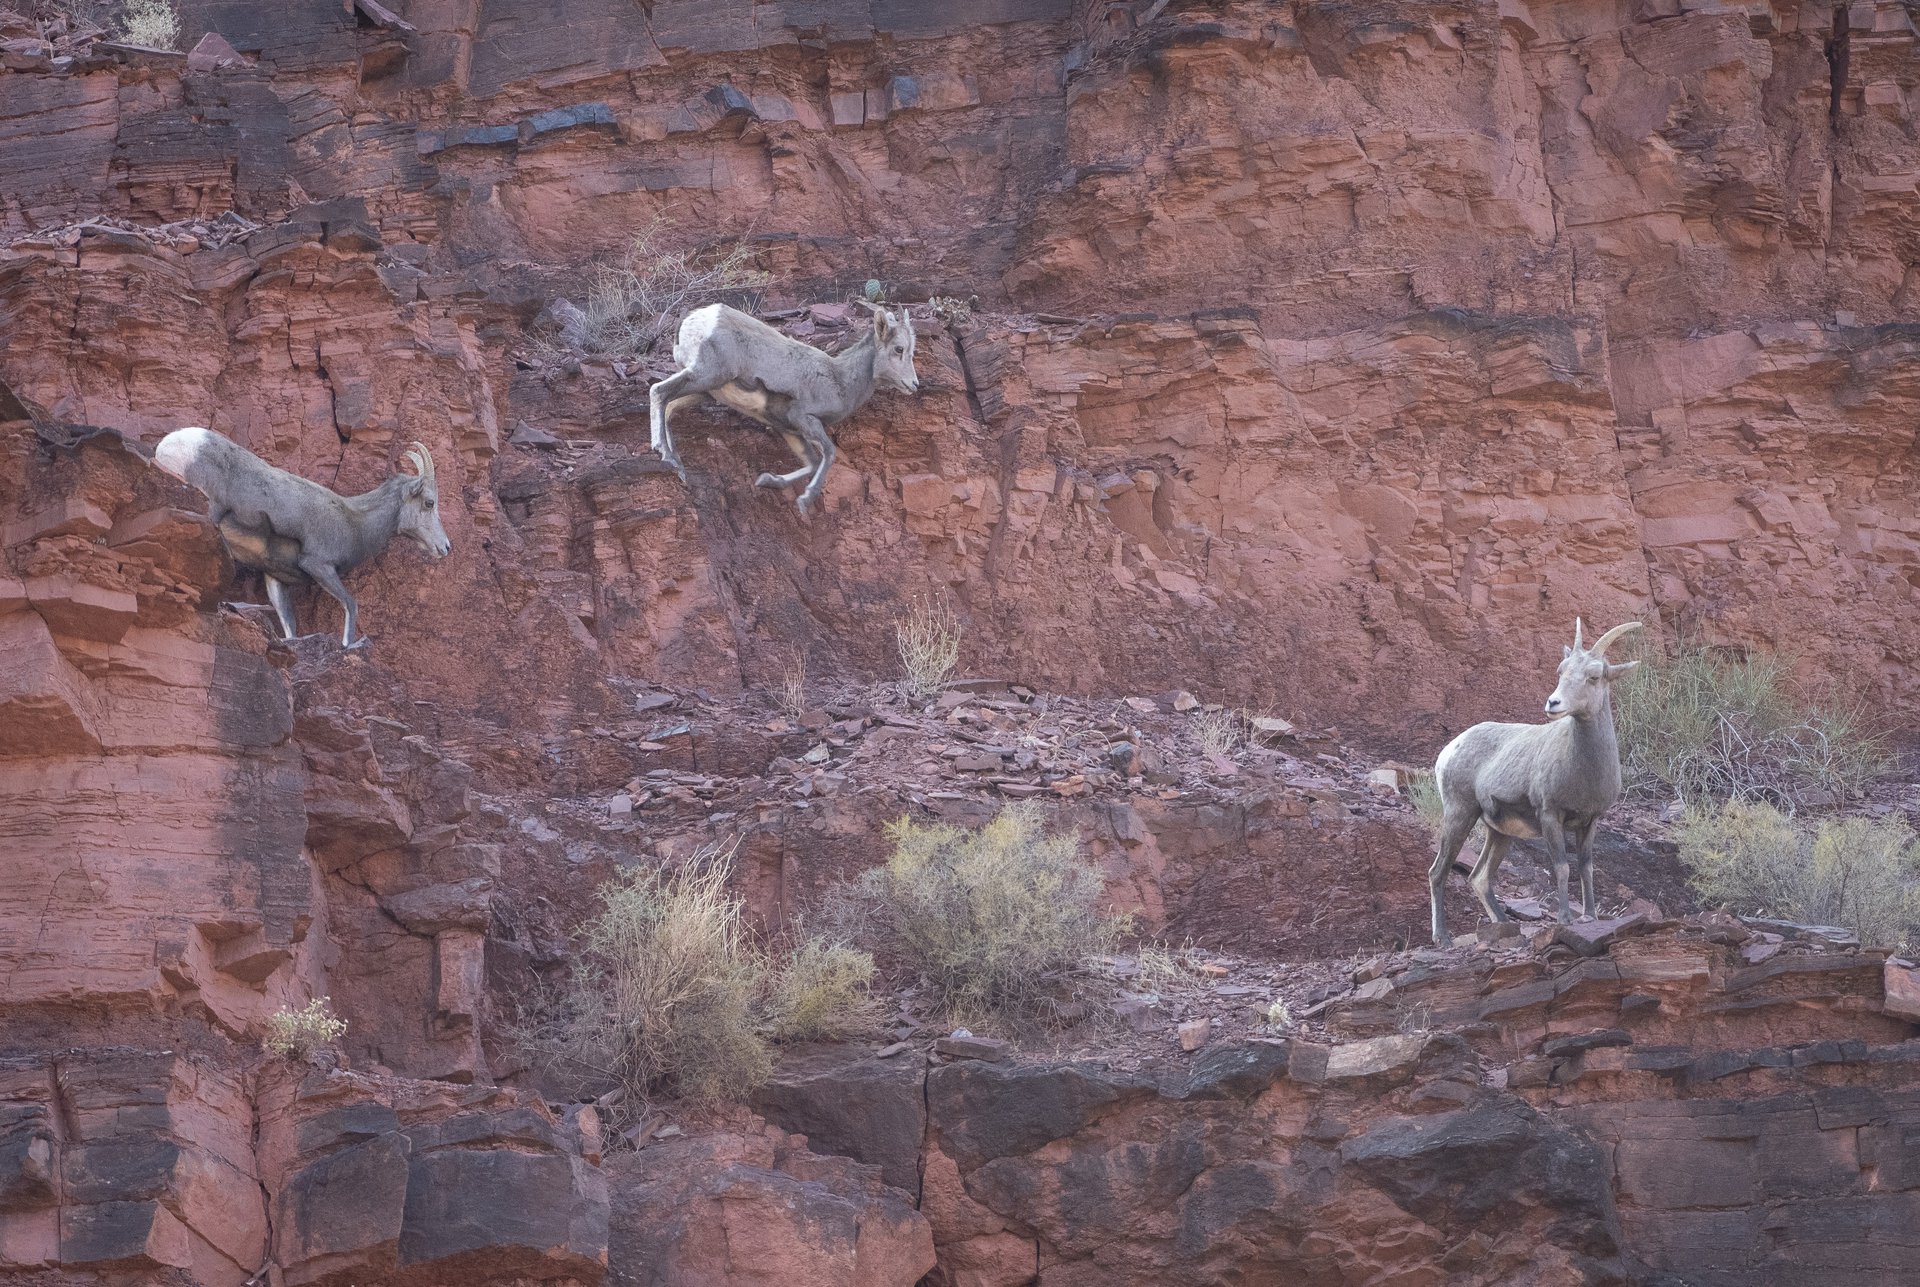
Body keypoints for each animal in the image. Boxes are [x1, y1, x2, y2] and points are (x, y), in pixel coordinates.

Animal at [153, 426, 451, 649]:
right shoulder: (318, 564)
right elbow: (351, 603)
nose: (445, 547)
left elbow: (290, 629)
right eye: (429, 503)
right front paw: (348, 645)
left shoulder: (276, 578)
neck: (355, 522)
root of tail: (170, 445)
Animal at [648, 301, 920, 514]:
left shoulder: (788, 429)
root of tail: (696, 319)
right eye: (899, 349)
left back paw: (677, 465)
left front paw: (768, 481)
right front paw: (805, 500)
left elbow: (811, 462)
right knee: (658, 391)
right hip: (706, 376)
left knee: (669, 406)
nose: (914, 385)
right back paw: (666, 456)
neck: (839, 379)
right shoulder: (805, 418)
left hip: (704, 389)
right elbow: (829, 454)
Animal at [1426, 619, 1644, 944]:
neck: (1583, 767)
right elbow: (1563, 868)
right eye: (1561, 671)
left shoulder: (1590, 821)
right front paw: (1566, 918)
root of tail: (1450, 750)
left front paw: (1590, 917)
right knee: (1438, 871)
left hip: (1499, 833)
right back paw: (1442, 938)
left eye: (1594, 676)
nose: (1553, 703)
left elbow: (1586, 868)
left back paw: (1504, 925)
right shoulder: (1550, 815)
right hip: (1459, 814)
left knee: (1479, 877)